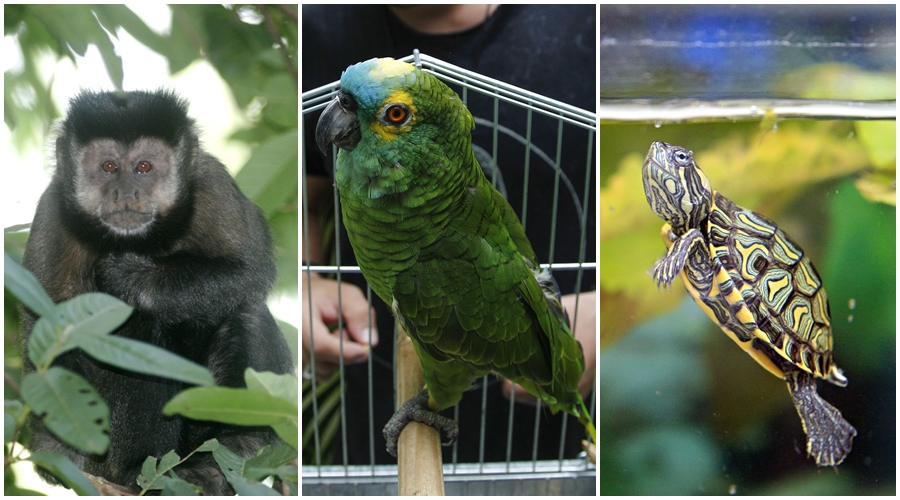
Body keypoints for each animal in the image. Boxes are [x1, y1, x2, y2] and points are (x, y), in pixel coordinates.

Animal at [19, 90, 295, 495]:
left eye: (144, 167)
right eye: (108, 167)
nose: (125, 191)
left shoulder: (212, 184)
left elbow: (250, 270)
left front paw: (134, 276)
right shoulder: (52, 211)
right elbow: (48, 329)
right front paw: (54, 442)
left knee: (247, 311)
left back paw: (232, 449)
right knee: (136, 329)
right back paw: (142, 469)